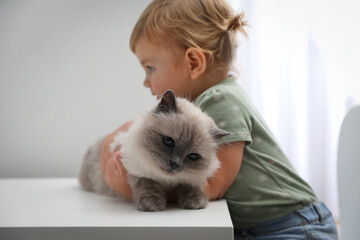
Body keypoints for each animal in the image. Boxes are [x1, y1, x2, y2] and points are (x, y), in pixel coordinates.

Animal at [79, 89, 231, 210]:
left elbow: (191, 185)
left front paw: (195, 203)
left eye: (193, 156)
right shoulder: (136, 170)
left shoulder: (193, 177)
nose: (175, 164)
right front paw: (152, 205)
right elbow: (148, 185)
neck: (166, 180)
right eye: (168, 141)